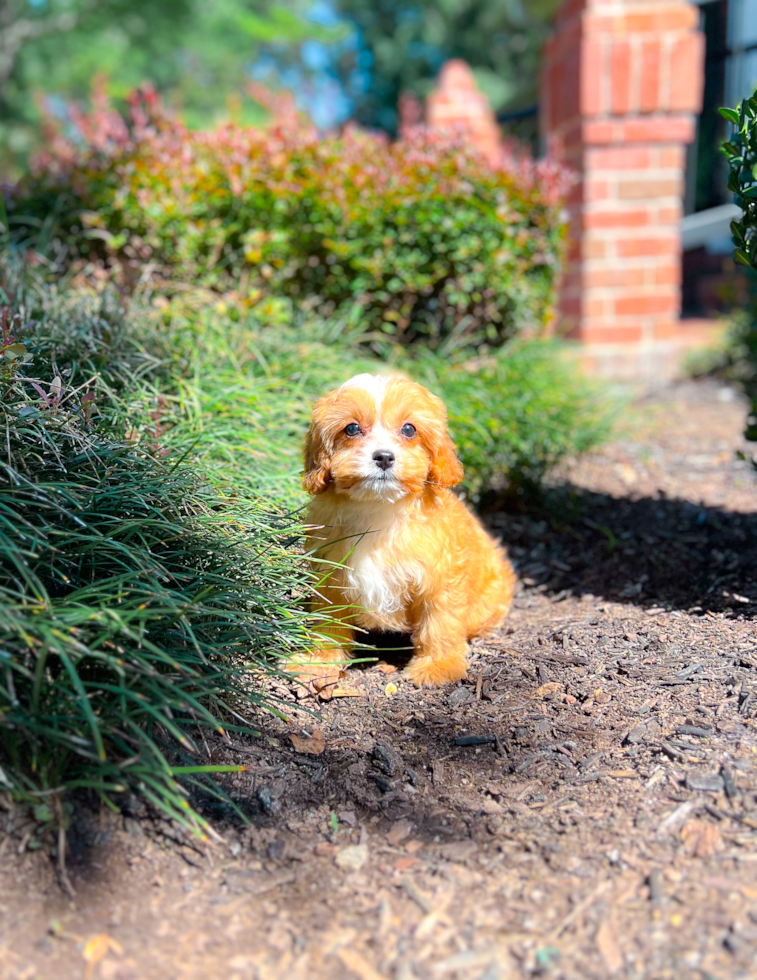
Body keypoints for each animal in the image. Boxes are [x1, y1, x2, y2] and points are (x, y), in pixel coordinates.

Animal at [302, 376, 512, 688]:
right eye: (351, 428)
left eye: (409, 429)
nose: (384, 457)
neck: (380, 508)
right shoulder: (331, 574)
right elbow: (329, 620)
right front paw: (318, 660)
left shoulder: (440, 578)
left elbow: (440, 622)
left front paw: (438, 667)